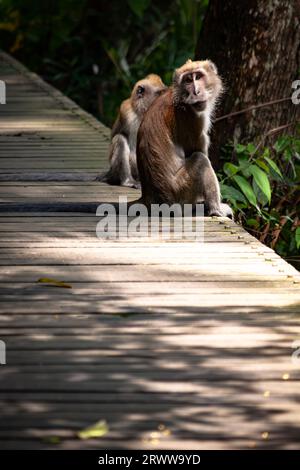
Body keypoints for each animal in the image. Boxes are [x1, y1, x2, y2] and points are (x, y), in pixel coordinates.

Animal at [137, 59, 233, 218]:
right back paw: (215, 209)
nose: (196, 92)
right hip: (180, 193)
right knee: (200, 159)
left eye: (198, 77)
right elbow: (197, 151)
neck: (179, 96)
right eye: (188, 80)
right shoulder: (192, 118)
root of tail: (149, 198)